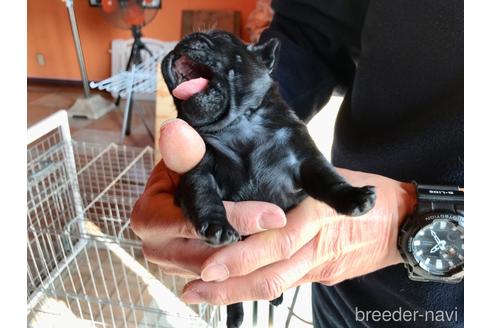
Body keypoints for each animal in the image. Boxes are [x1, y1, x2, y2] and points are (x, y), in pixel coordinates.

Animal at [161, 30, 372, 328]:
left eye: (221, 37)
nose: (182, 41)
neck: (239, 125)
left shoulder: (305, 157)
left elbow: (328, 178)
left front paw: (354, 196)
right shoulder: (197, 168)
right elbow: (203, 195)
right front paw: (217, 226)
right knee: (233, 295)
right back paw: (236, 317)